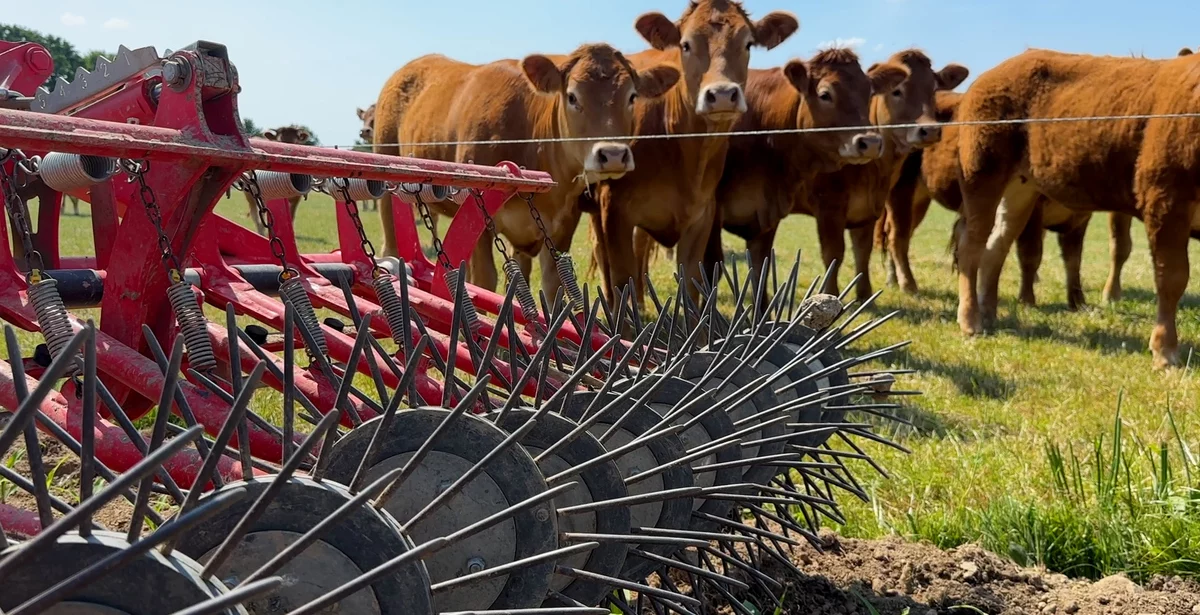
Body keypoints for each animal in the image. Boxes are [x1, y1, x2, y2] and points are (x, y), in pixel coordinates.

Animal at [369, 42, 681, 293]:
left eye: (632, 97)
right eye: (572, 96)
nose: (613, 154)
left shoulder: (561, 223)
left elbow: (550, 283)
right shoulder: (478, 219)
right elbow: (485, 281)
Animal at [585, 0, 801, 305]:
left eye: (748, 43)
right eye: (685, 44)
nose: (722, 95)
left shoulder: (702, 215)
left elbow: (692, 282)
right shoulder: (613, 208)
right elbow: (620, 276)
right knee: (602, 255)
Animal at [787, 49, 964, 301]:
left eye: (933, 89)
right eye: (896, 91)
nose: (929, 130)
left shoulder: (871, 207)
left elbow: (869, 248)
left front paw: (869, 293)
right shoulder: (829, 205)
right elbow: (834, 252)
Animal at [950, 49, 1195, 369]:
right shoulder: (1166, 200)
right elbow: (1172, 278)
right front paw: (1165, 351)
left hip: (1020, 191)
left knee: (995, 247)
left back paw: (988, 311)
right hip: (982, 175)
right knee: (971, 246)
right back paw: (970, 321)